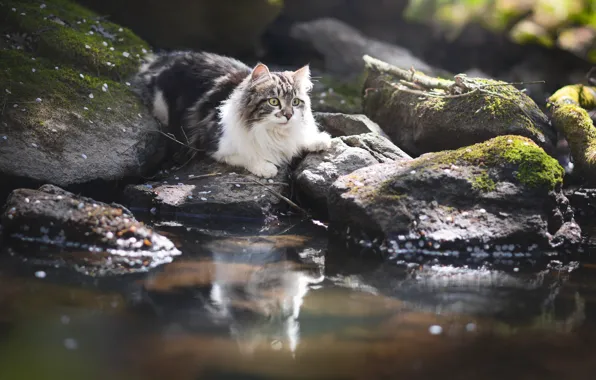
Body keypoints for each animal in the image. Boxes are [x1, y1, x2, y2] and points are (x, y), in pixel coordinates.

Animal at [132, 50, 332, 178]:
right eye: (274, 101)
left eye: (296, 102)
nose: (289, 115)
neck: (274, 133)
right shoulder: (212, 145)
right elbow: (248, 155)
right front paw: (266, 168)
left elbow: (302, 139)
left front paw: (318, 140)